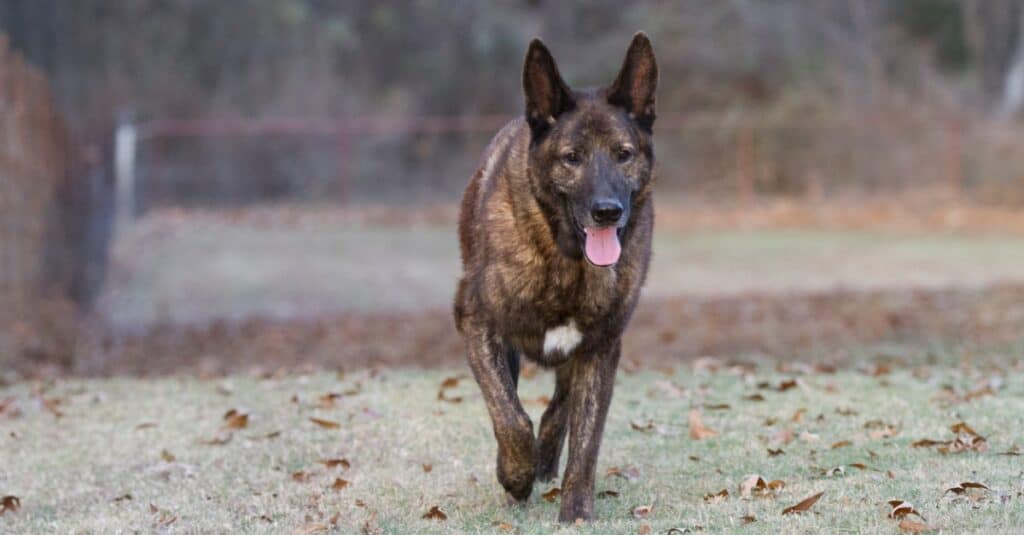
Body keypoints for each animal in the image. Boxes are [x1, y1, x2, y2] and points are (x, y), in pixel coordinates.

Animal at [454, 33, 659, 520]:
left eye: (623, 155)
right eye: (572, 158)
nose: (607, 211)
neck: (566, 259)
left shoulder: (601, 348)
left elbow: (586, 442)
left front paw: (576, 512)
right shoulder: (478, 324)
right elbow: (510, 416)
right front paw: (515, 474)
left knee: (558, 411)